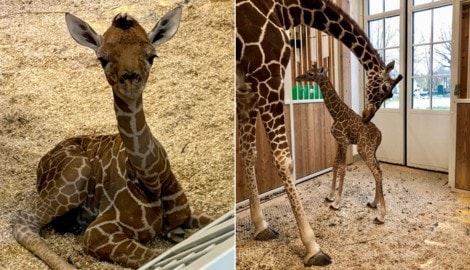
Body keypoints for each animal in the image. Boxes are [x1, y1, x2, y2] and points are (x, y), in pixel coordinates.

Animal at [298, 65, 386, 224]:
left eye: (311, 74)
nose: (298, 78)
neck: (336, 114)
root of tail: (380, 135)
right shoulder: (339, 141)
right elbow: (334, 165)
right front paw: (330, 196)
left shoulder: (344, 142)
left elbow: (342, 169)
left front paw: (337, 203)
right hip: (372, 150)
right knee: (379, 170)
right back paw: (373, 203)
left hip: (364, 149)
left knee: (376, 172)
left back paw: (381, 215)